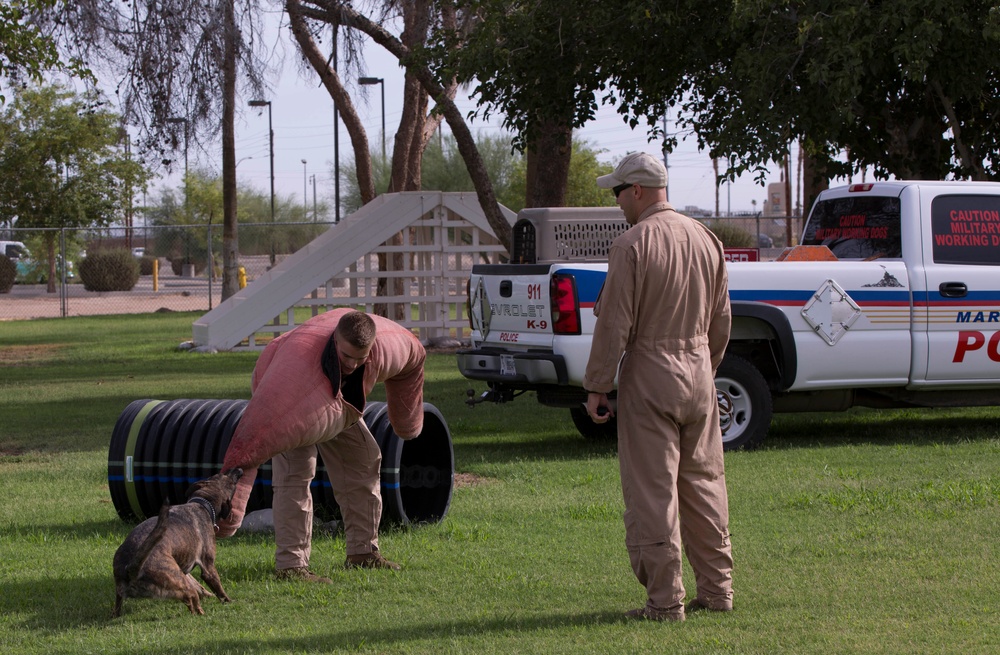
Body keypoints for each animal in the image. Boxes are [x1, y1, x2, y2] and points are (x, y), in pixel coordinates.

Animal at [112, 468, 243, 616]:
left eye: (217, 474)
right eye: (231, 483)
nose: (239, 469)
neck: (202, 504)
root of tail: (131, 569)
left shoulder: (184, 570)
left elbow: (198, 584)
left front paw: (208, 594)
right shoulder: (208, 567)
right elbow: (218, 588)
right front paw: (228, 601)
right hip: (177, 580)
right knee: (192, 599)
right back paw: (201, 614)